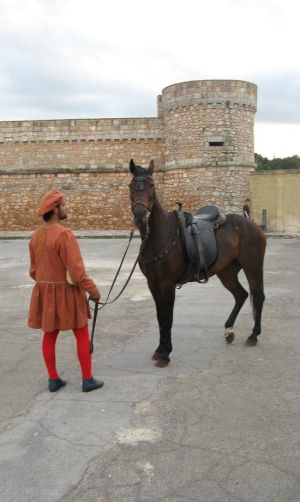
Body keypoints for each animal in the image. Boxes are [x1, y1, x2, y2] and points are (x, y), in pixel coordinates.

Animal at [130, 159, 266, 366]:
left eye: (152, 185)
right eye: (131, 185)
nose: (139, 216)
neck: (160, 236)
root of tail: (252, 224)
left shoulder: (167, 284)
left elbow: (167, 317)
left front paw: (166, 353)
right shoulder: (153, 284)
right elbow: (160, 317)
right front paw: (160, 350)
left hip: (253, 267)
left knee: (258, 296)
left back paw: (253, 335)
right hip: (227, 271)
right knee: (241, 295)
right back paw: (229, 330)